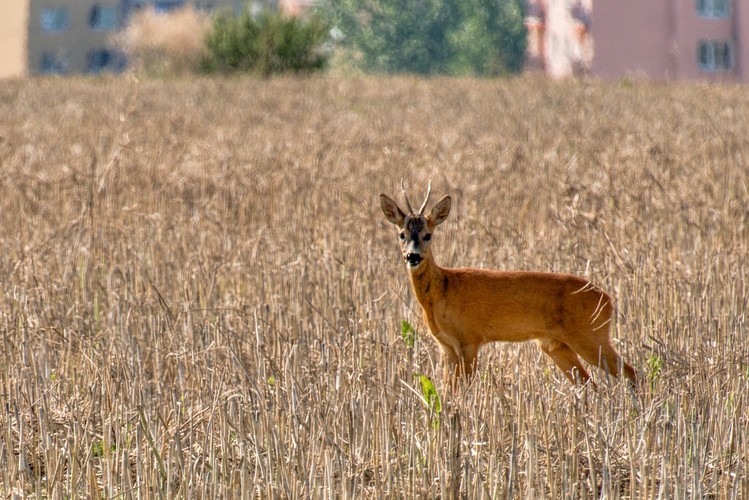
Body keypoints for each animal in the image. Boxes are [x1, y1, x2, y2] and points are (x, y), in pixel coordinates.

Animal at [380, 184, 636, 386]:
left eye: (428, 235)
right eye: (402, 234)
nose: (413, 256)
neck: (442, 291)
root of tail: (608, 300)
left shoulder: (469, 339)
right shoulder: (447, 347)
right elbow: (447, 392)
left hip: (590, 335)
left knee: (631, 372)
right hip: (556, 345)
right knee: (589, 383)